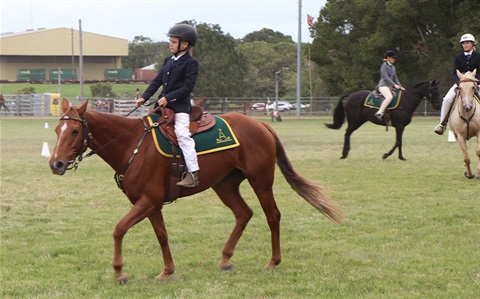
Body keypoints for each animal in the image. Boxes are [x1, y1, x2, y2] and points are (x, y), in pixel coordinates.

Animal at [48, 99, 342, 284]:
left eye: (75, 131)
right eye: (57, 130)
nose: (56, 164)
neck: (132, 144)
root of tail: (261, 124)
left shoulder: (148, 201)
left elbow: (119, 229)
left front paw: (120, 273)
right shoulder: (150, 203)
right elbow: (162, 235)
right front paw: (167, 271)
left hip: (261, 180)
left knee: (272, 215)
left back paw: (273, 261)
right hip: (225, 184)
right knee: (243, 214)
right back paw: (225, 259)